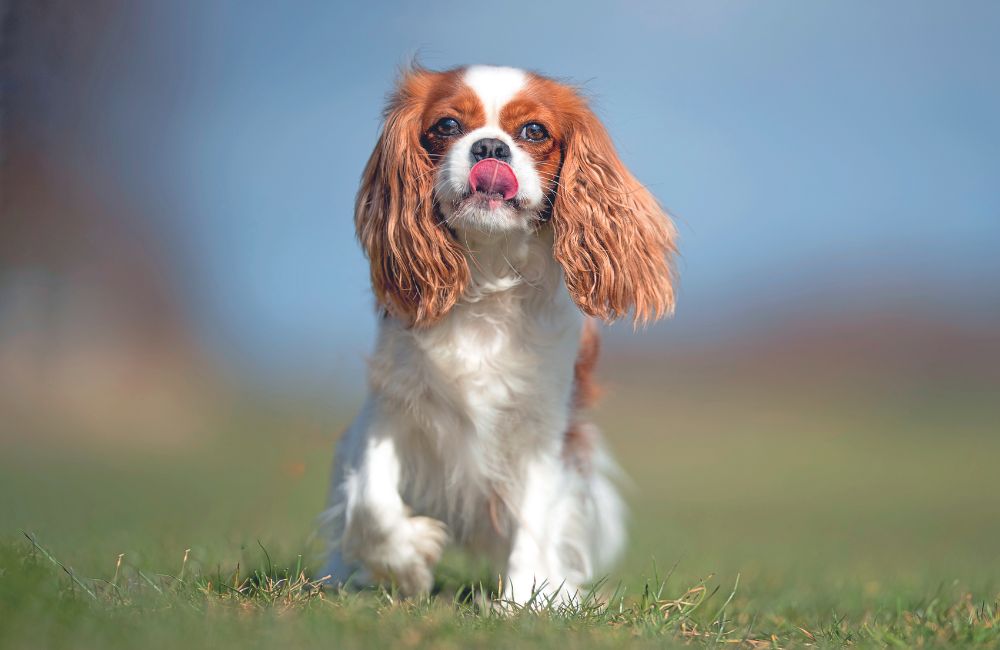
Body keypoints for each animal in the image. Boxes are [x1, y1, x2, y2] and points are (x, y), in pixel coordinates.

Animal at [324, 66, 676, 604]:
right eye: (447, 125)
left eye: (533, 131)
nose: (490, 148)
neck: (488, 274)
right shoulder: (391, 407)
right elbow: (370, 499)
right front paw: (408, 559)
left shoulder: (541, 431)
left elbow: (534, 519)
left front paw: (523, 602)